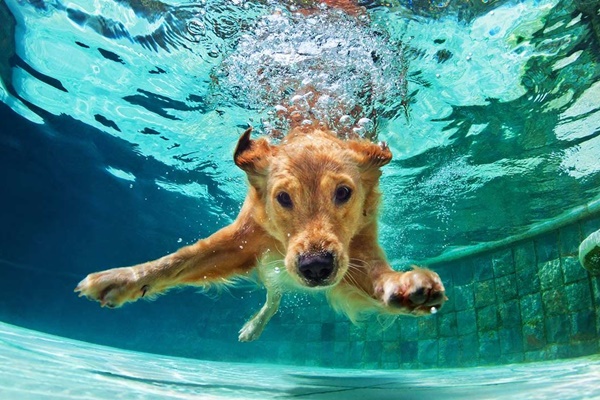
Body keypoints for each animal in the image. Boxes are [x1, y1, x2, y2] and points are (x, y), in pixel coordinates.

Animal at [76, 126, 446, 342]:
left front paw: (406, 286)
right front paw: (123, 278)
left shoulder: (357, 250)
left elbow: (378, 275)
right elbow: (179, 259)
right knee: (273, 295)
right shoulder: (242, 239)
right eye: (283, 197)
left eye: (343, 192)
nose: (316, 266)